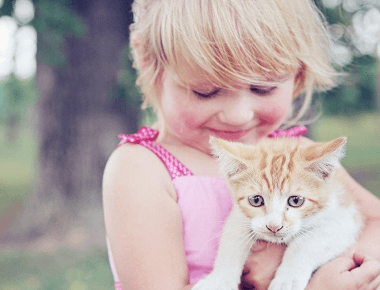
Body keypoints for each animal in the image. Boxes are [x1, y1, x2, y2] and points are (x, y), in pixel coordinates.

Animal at [194, 137, 360, 290]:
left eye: (296, 200)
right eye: (256, 200)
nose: (274, 226)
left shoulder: (344, 220)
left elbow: (305, 243)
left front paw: (287, 281)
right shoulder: (239, 217)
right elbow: (232, 241)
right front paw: (218, 281)